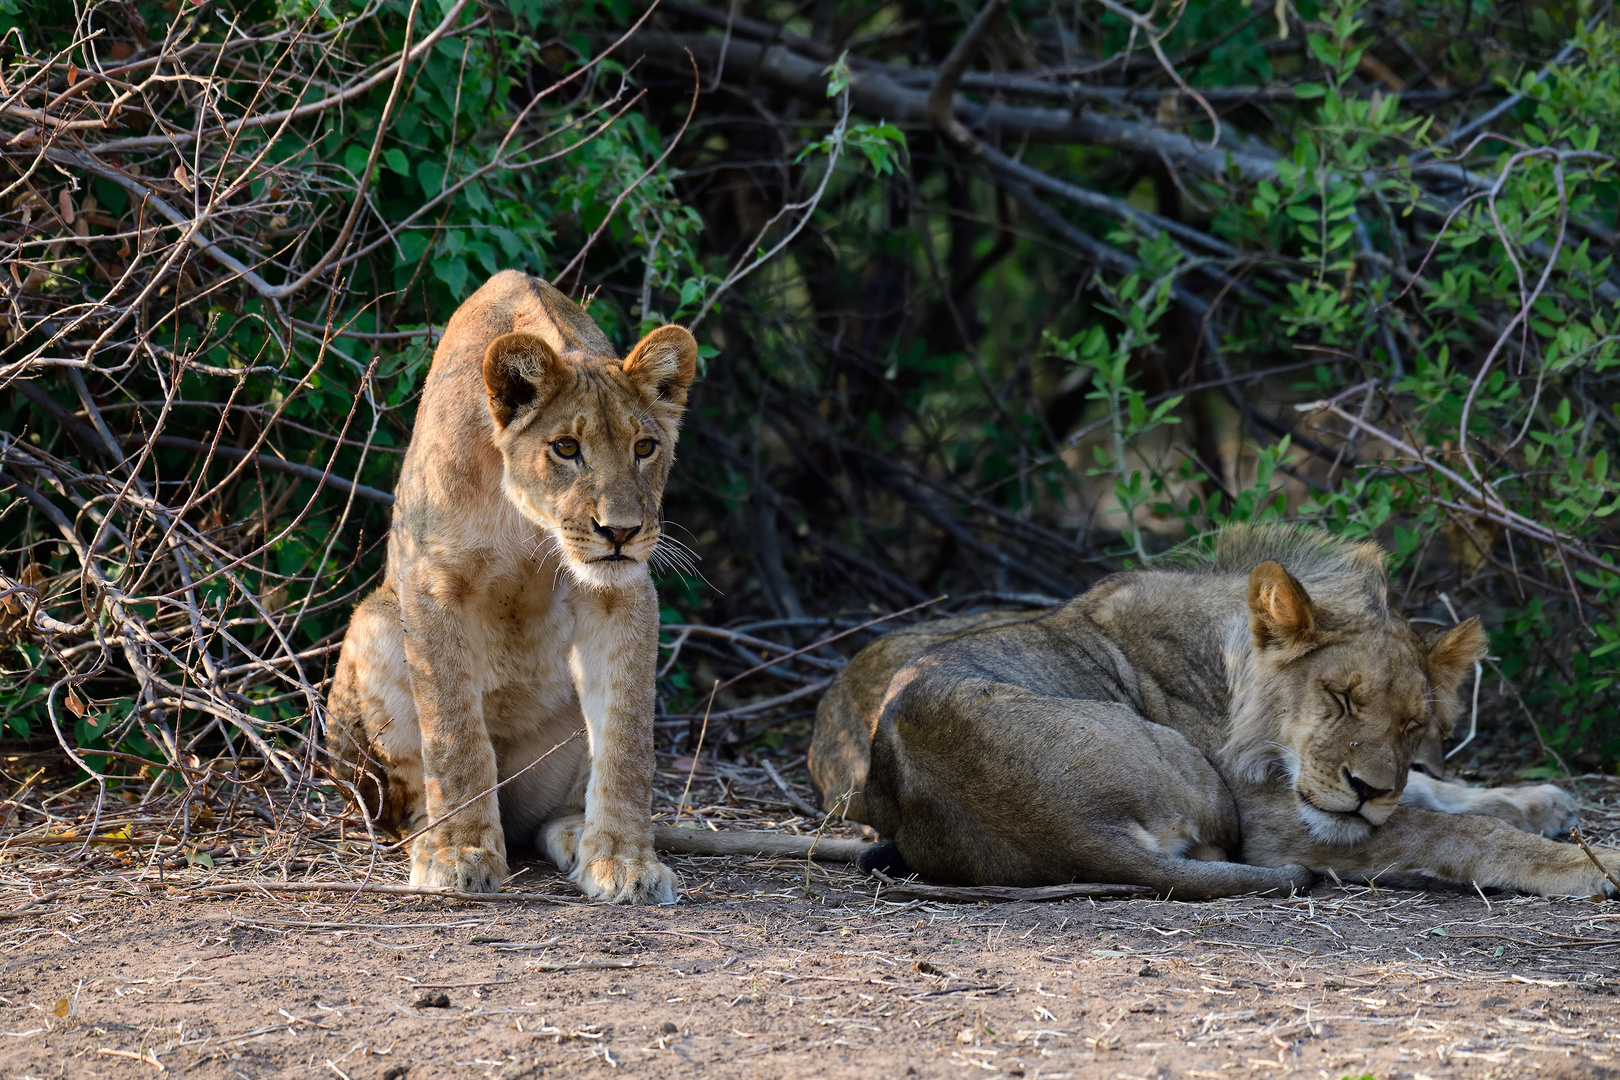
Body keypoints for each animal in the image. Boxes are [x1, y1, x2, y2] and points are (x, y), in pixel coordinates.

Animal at [803, 527, 1613, 900]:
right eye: (1340, 697)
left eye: (1414, 725)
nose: (1366, 791)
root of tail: (1075, 833)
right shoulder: (1273, 822)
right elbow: (1446, 829)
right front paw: (1584, 863)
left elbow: (1435, 791)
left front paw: (1540, 800)